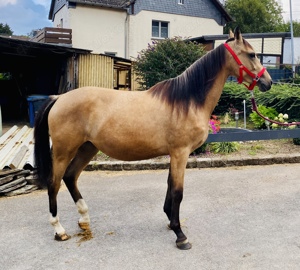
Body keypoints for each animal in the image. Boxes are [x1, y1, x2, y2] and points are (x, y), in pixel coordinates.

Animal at [34, 28, 274, 250]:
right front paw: (180, 235)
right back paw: (59, 230)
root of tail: (58, 98)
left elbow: (169, 186)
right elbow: (177, 192)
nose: (268, 82)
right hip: (64, 151)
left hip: (87, 148)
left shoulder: (174, 154)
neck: (187, 100)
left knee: (70, 177)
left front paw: (170, 221)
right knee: (54, 183)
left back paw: (84, 219)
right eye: (252, 54)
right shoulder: (180, 153)